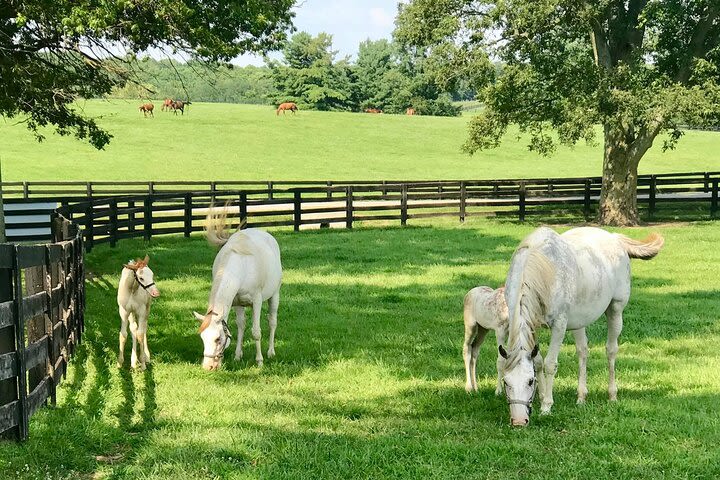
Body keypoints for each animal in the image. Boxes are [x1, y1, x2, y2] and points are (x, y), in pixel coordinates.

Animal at [500, 227, 664, 426]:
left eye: (530, 381)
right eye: (506, 382)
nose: (518, 421)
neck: (540, 268)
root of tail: (615, 238)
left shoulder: (559, 325)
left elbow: (549, 364)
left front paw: (546, 405)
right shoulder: (534, 325)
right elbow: (537, 361)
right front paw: (541, 396)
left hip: (615, 310)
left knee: (611, 350)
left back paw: (612, 395)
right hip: (579, 322)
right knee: (583, 351)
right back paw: (581, 397)